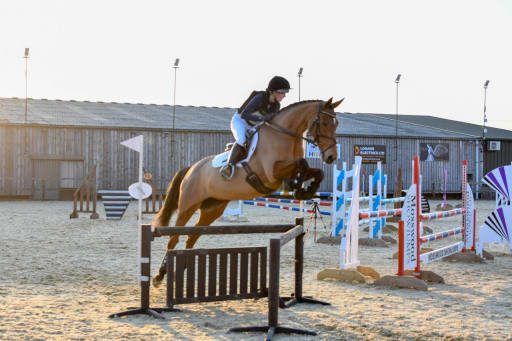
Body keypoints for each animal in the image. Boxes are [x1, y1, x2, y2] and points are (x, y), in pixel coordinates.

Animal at [152, 97, 344, 286]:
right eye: (324, 123)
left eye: (336, 124)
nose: (331, 157)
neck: (284, 136)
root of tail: (191, 169)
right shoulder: (272, 174)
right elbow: (301, 163)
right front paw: (296, 186)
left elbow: (316, 171)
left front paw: (305, 190)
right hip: (188, 205)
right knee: (174, 237)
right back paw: (159, 275)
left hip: (212, 209)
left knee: (191, 237)